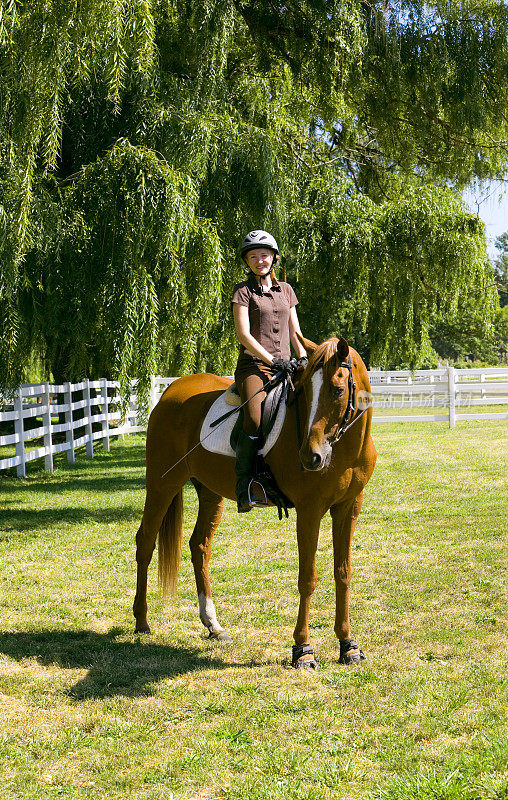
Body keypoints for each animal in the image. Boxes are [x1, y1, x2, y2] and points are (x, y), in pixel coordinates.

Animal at [135, 334, 378, 664]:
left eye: (338, 389)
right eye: (304, 391)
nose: (311, 457)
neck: (343, 450)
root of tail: (171, 391)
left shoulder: (348, 507)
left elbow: (343, 573)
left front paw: (348, 644)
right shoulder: (310, 509)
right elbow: (308, 577)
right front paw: (303, 650)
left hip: (209, 493)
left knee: (199, 546)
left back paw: (213, 625)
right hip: (162, 484)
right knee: (146, 542)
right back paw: (141, 621)